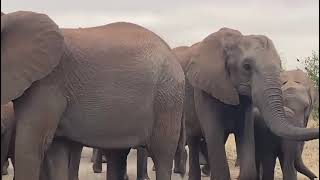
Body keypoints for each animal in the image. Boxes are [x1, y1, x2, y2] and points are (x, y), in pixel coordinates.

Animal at [1, 10, 184, 180]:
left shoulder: (48, 83)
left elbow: (33, 144)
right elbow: (55, 150)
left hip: (167, 98)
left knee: (162, 154)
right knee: (117, 153)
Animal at [170, 27, 318, 180]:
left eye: (280, 67)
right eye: (246, 67)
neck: (235, 40)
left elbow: (244, 134)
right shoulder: (203, 87)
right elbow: (214, 133)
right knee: (193, 139)